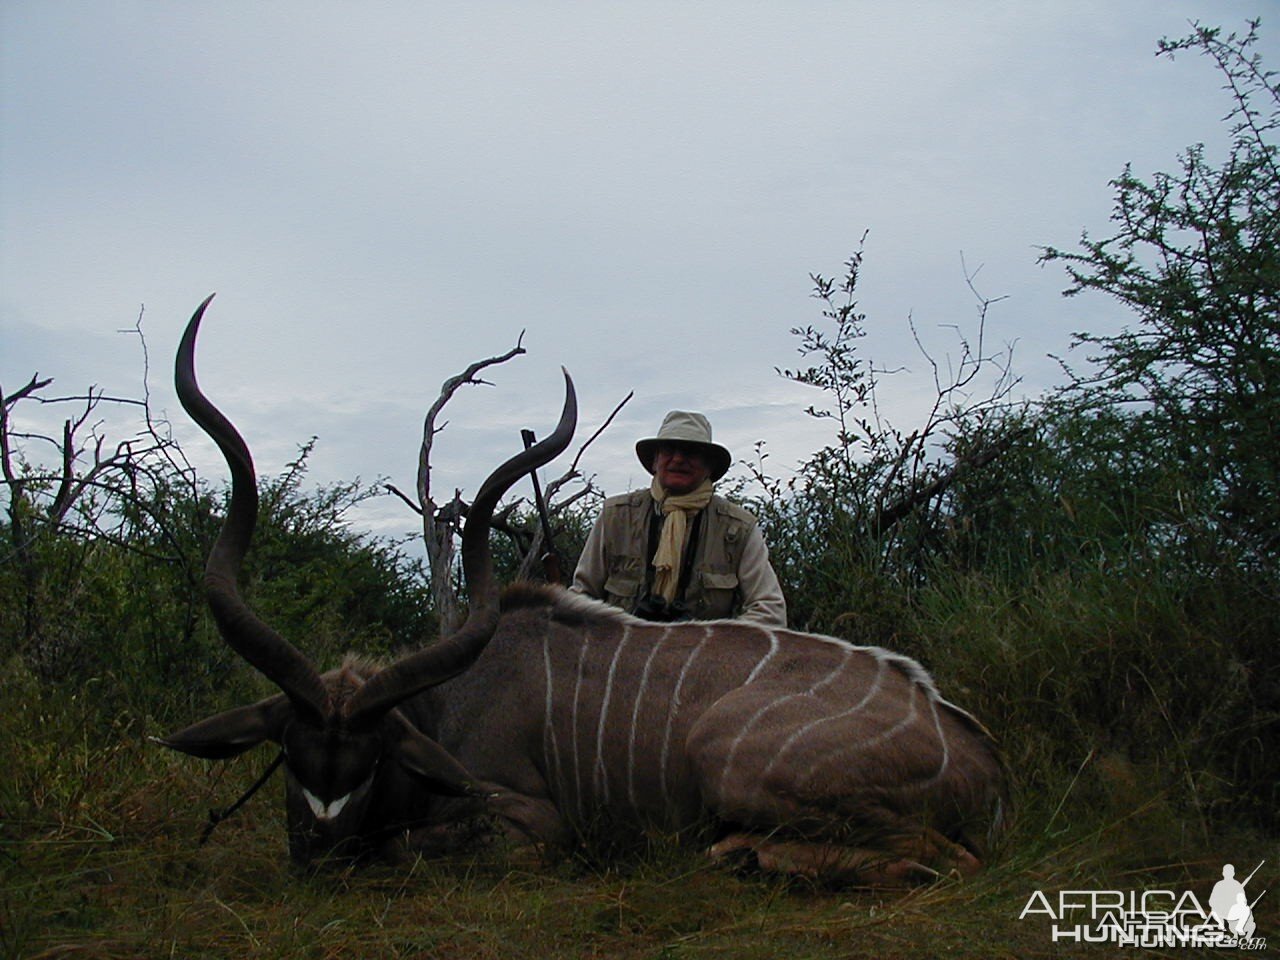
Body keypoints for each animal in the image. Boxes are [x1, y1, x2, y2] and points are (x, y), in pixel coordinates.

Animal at [160, 296, 1003, 885]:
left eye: (369, 764)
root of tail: (978, 755)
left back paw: (743, 854)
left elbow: (405, 850)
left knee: (945, 859)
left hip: (737, 765)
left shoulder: (532, 828)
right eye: (291, 755)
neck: (441, 710)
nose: (321, 854)